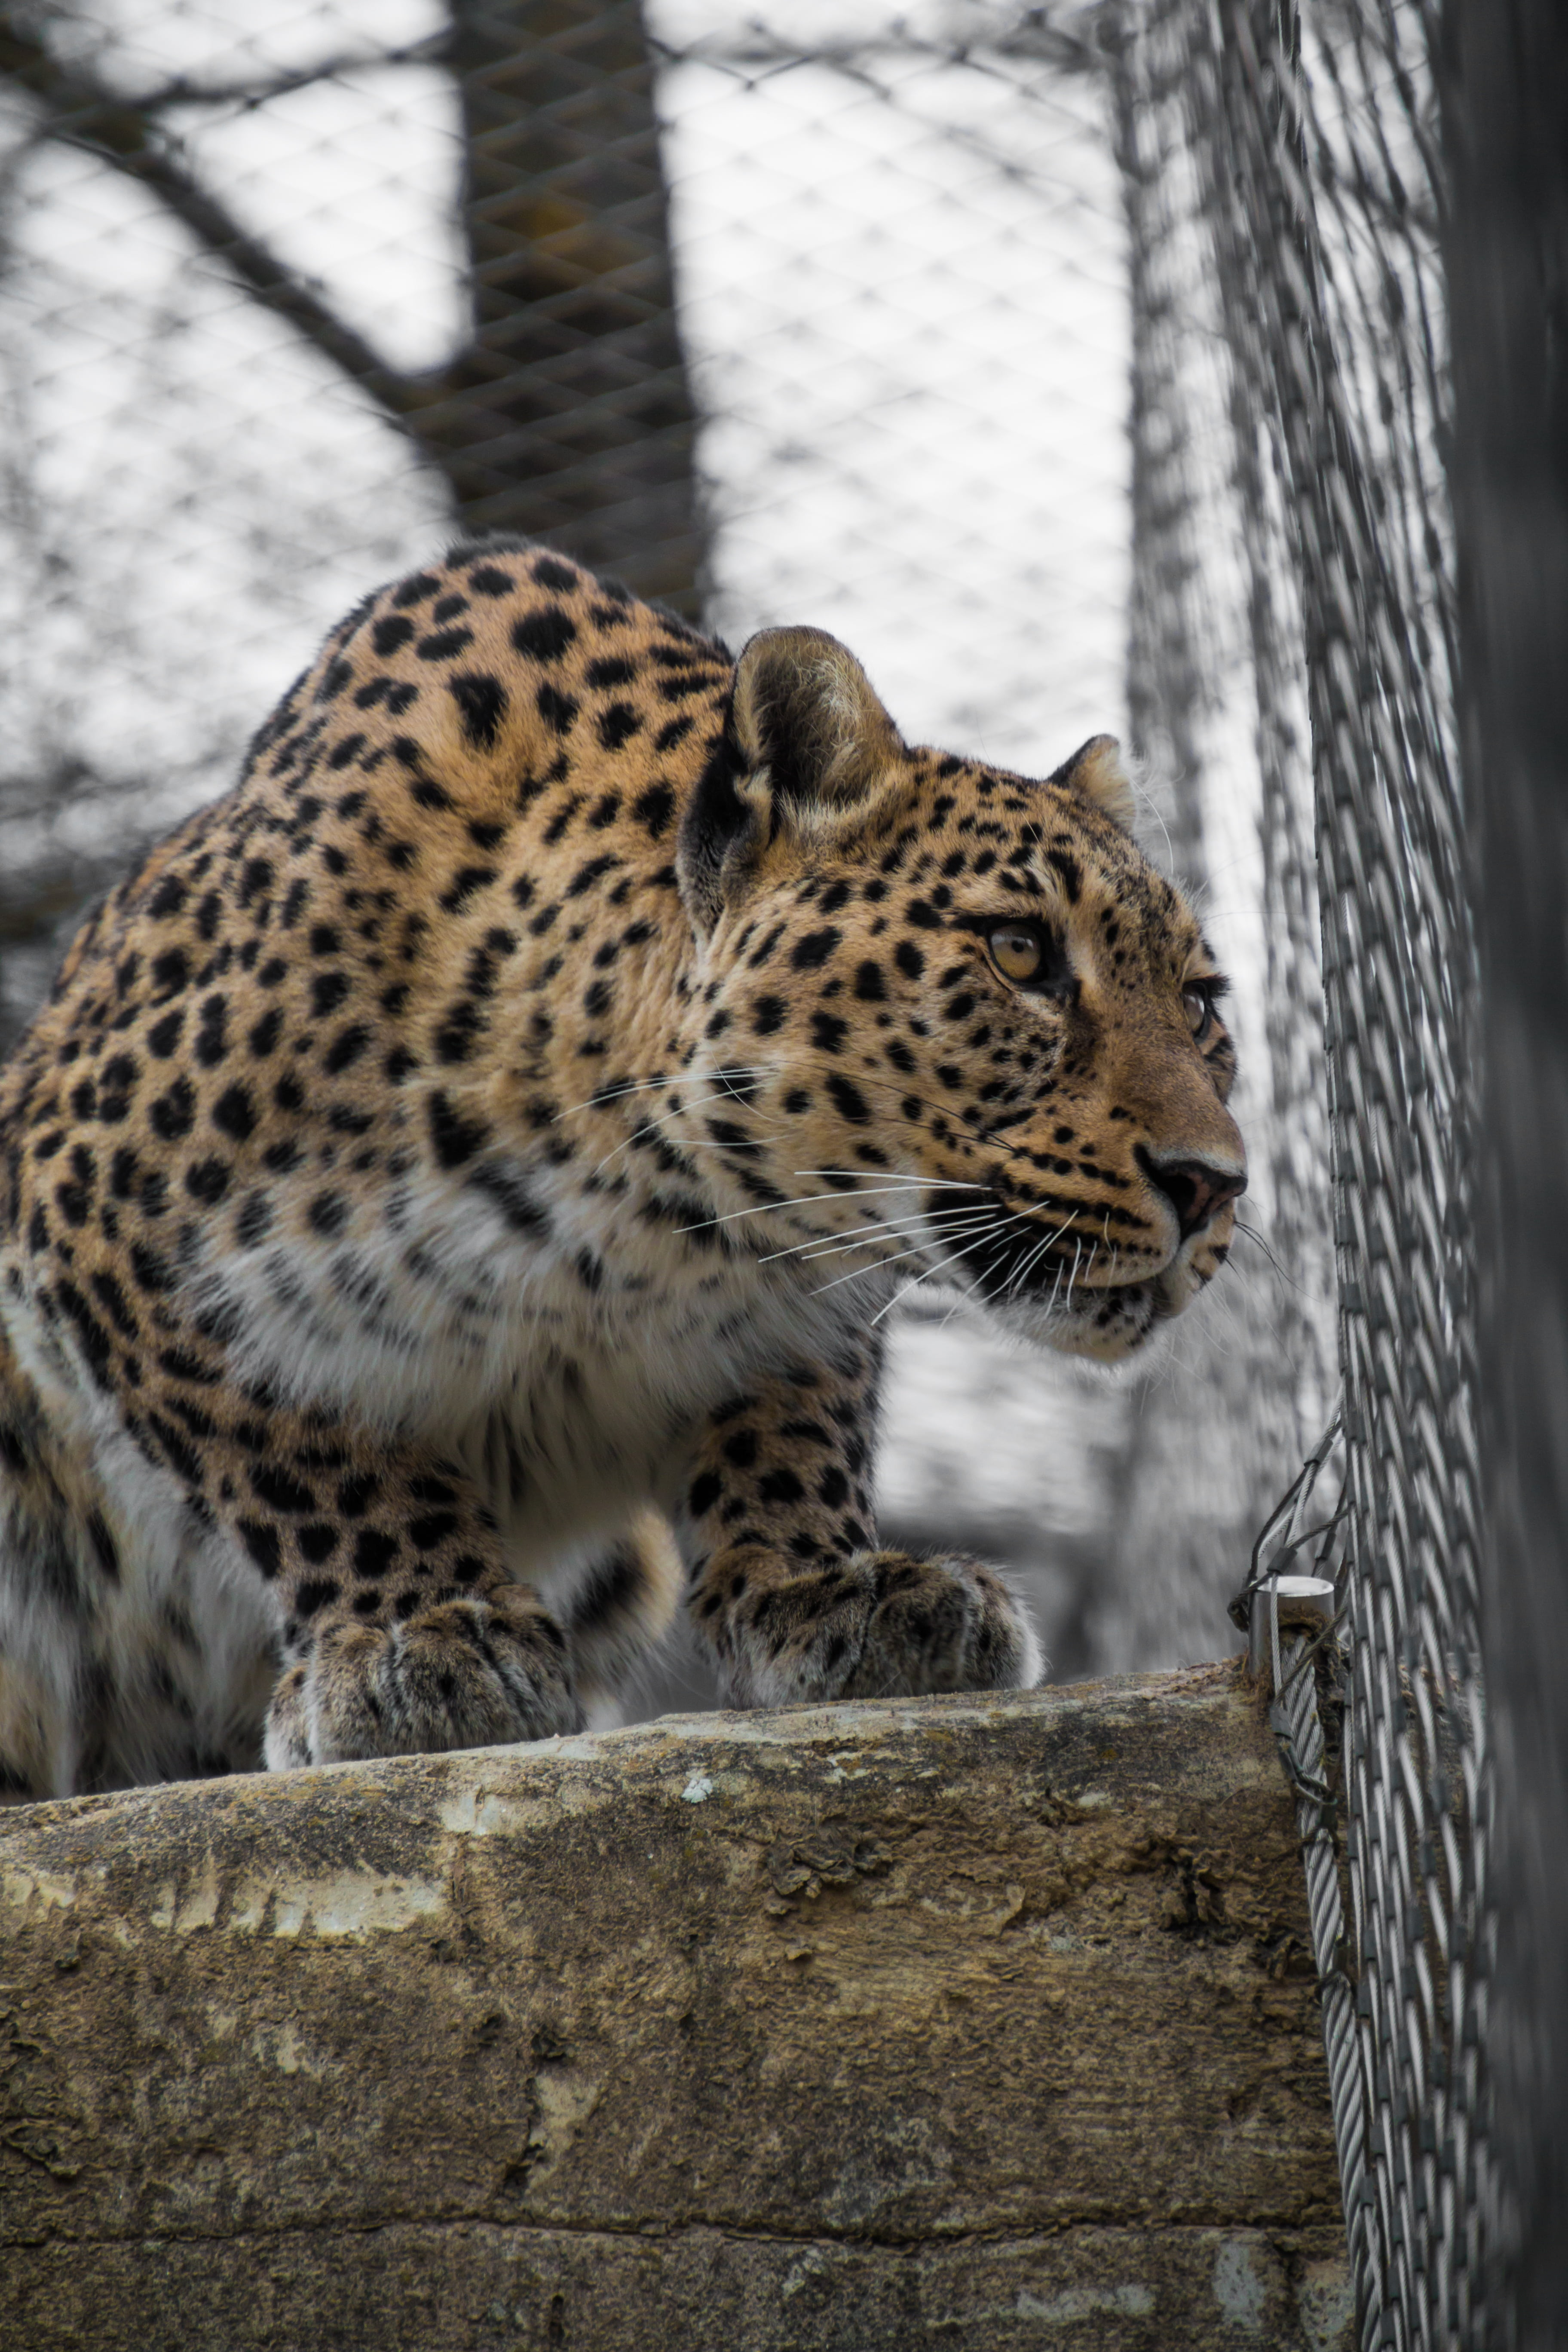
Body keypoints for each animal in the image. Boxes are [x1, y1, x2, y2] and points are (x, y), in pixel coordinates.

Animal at [0, 538, 1245, 1799]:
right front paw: (421, 1634)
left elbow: (792, 1432)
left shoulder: (795, 1306)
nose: (1213, 1184)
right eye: (1019, 952)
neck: (647, 1220)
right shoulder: (90, 1216)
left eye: (1201, 1005)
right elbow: (304, 1450)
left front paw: (830, 1590)